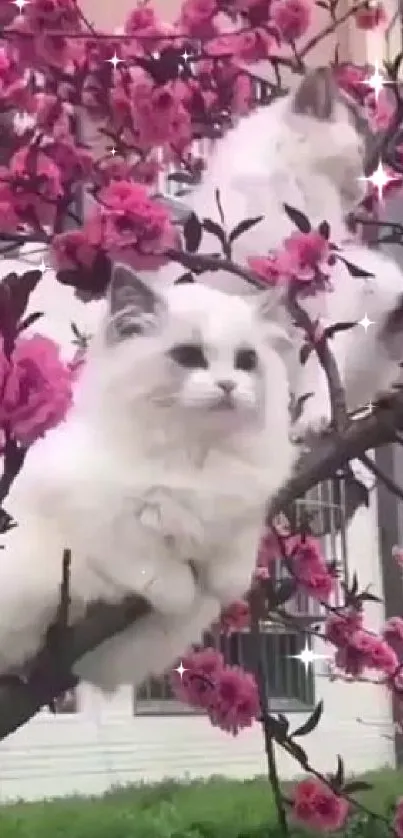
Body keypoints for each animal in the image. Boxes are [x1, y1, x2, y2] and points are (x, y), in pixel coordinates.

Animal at [0, 266, 296, 692]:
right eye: (188, 356)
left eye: (246, 360)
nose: (228, 385)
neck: (195, 451)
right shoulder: (90, 508)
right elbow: (142, 553)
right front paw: (177, 589)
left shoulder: (246, 508)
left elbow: (235, 553)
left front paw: (226, 581)